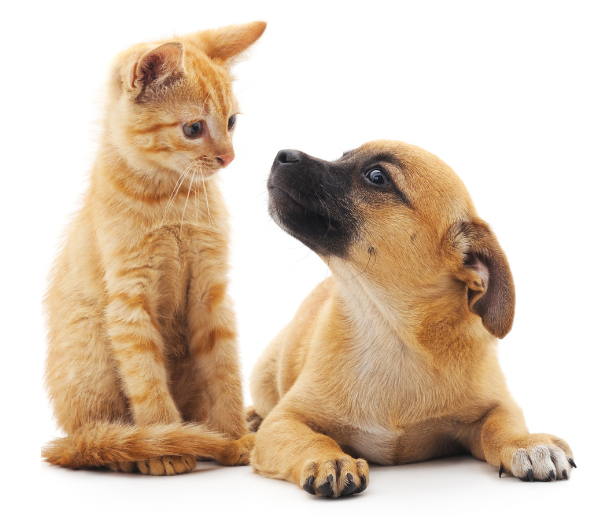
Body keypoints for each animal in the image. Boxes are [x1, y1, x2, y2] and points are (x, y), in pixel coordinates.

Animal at [45, 22, 268, 478]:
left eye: (232, 122)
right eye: (193, 129)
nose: (228, 157)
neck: (171, 197)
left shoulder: (211, 292)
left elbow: (225, 369)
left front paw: (234, 435)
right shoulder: (129, 303)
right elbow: (146, 381)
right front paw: (165, 443)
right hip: (91, 351)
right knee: (96, 443)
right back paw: (133, 450)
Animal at [247, 140, 576, 496]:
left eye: (377, 176)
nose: (283, 155)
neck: (390, 333)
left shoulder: (499, 405)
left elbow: (501, 426)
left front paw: (526, 443)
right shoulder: (285, 420)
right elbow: (308, 439)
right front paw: (328, 458)